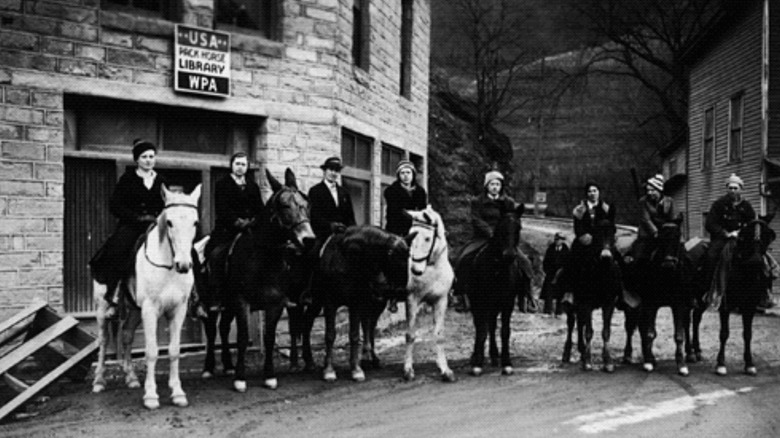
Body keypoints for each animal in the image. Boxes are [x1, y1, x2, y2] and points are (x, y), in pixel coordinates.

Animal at [92, 185, 203, 410]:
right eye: (169, 222)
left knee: (126, 334)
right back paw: (99, 381)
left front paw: (177, 393)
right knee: (103, 340)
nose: (184, 265)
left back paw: (131, 378)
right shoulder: (150, 310)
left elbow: (174, 350)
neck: (168, 266)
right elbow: (151, 351)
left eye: (195, 222)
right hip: (102, 307)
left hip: (135, 309)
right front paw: (151, 396)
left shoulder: (178, 310)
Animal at [402, 207, 458, 382]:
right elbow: (410, 335)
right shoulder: (412, 300)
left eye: (427, 238)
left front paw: (445, 369)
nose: (414, 270)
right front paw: (408, 370)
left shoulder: (441, 301)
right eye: (410, 234)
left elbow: (439, 335)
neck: (431, 268)